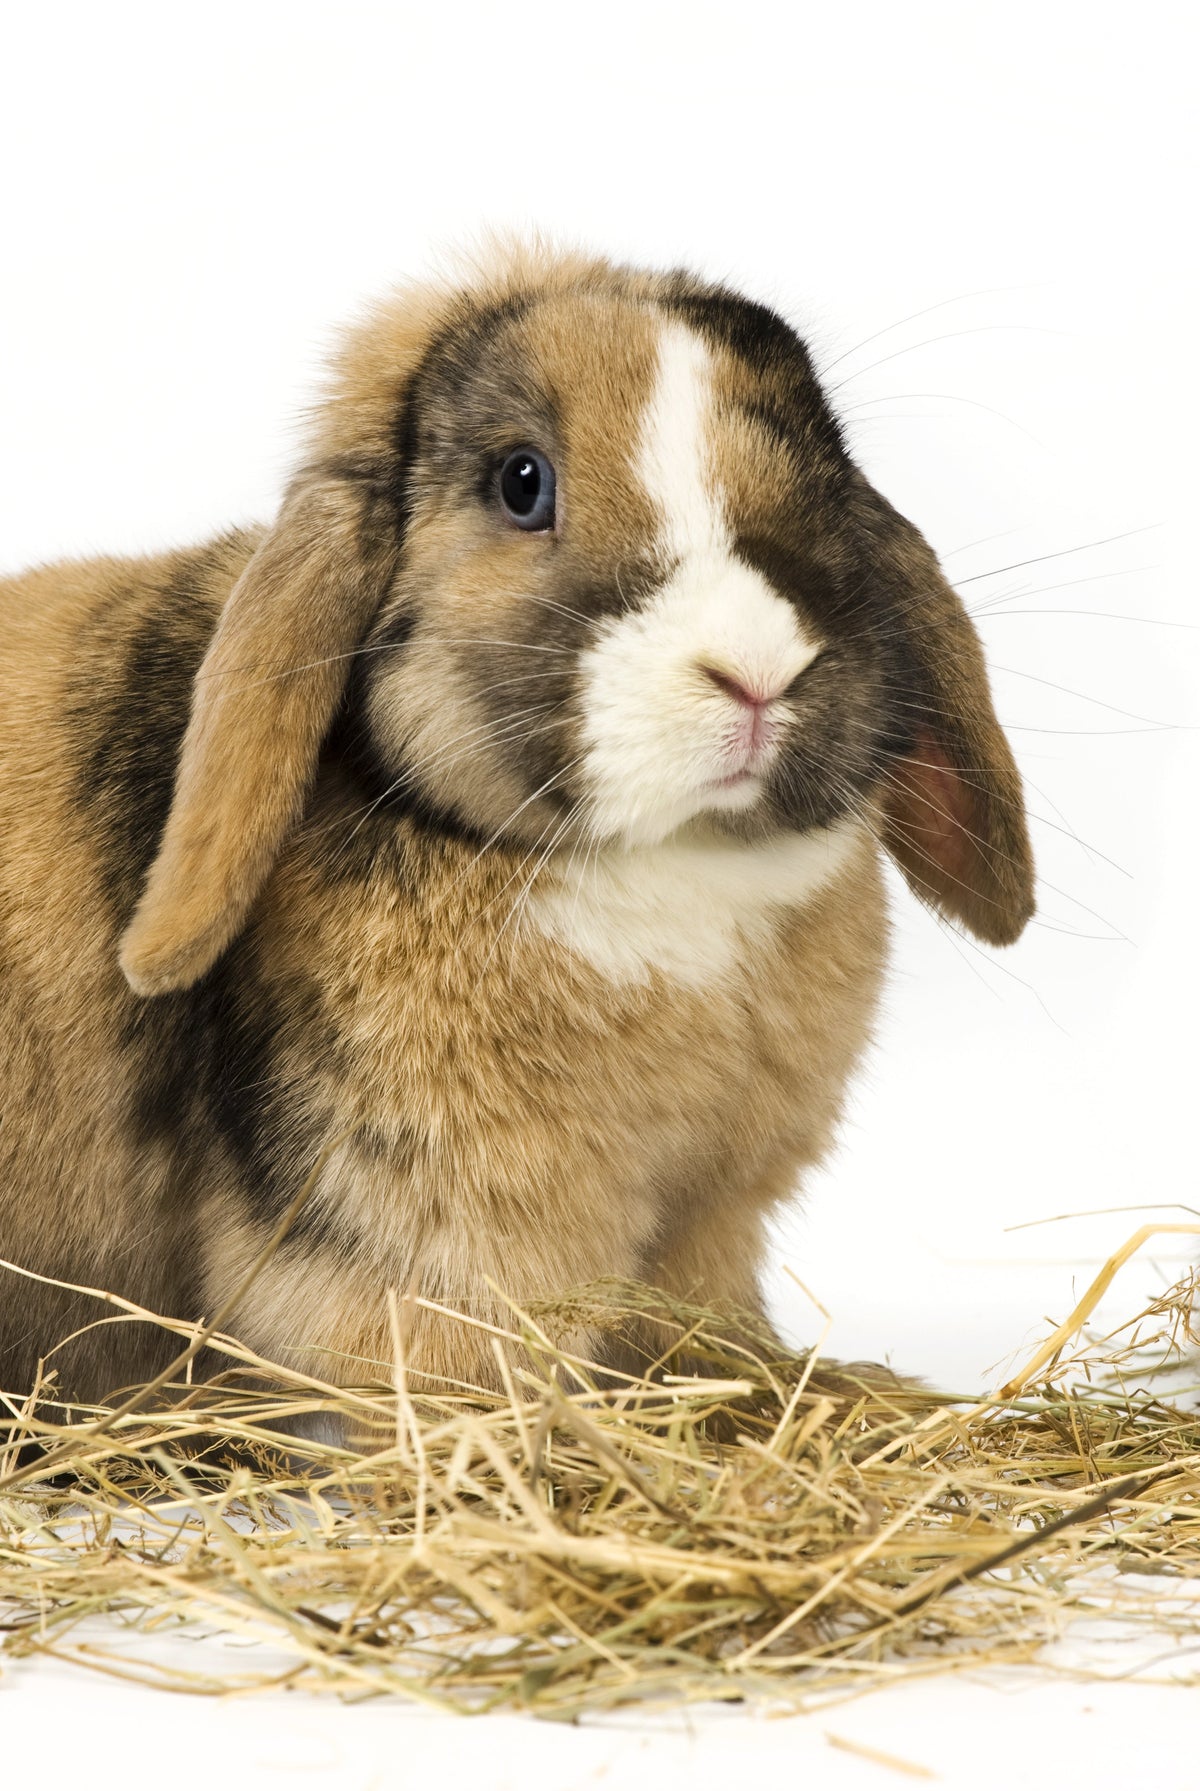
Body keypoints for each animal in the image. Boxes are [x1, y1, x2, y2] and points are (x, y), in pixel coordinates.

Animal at [0, 242, 1034, 1411]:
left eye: (827, 467)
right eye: (522, 481)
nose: (757, 671)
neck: (679, 868)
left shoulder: (708, 1221)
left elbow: (703, 1332)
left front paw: (772, 1392)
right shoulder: (426, 1221)